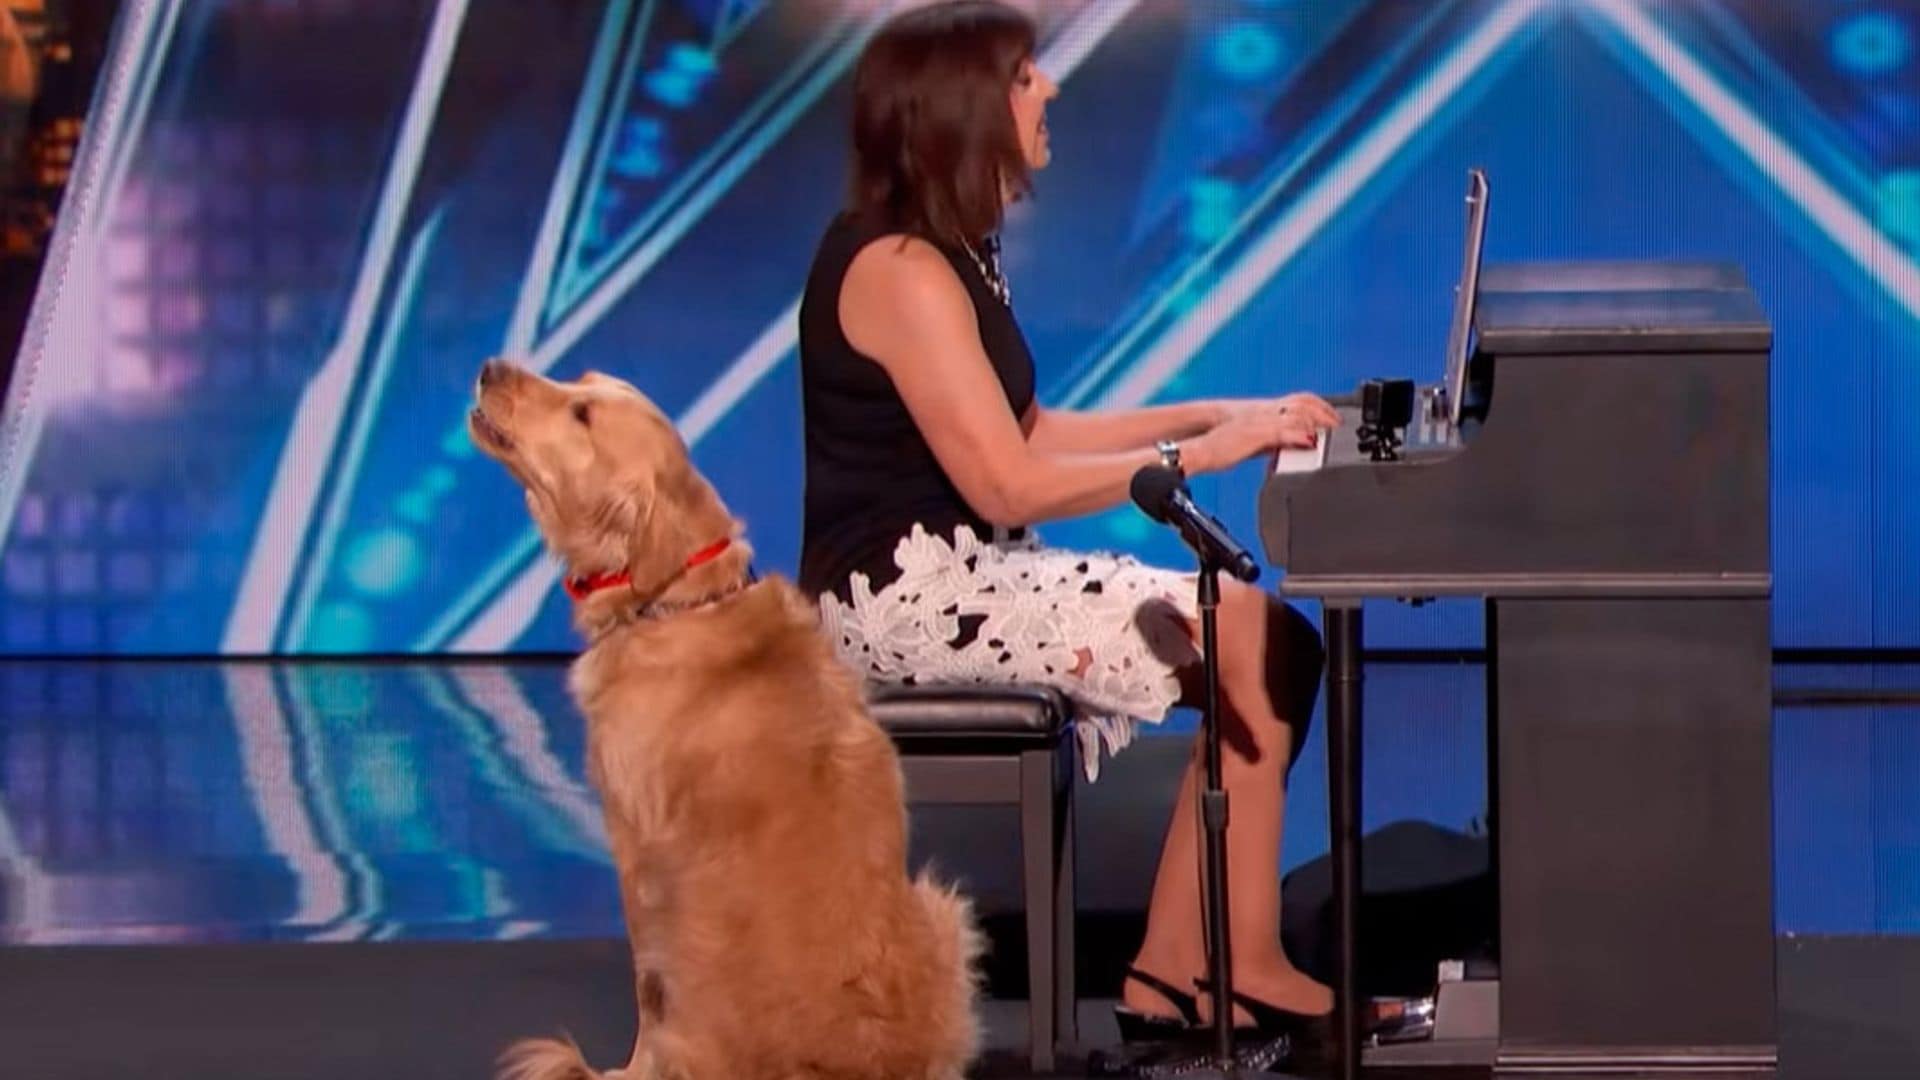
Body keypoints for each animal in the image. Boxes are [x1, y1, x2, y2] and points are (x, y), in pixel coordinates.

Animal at [464, 357, 975, 1068]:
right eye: (581, 381)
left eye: (581, 415)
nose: (491, 367)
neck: (679, 600)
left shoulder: (636, 853)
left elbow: (645, 992)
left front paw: (630, 1069)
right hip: (939, 910)